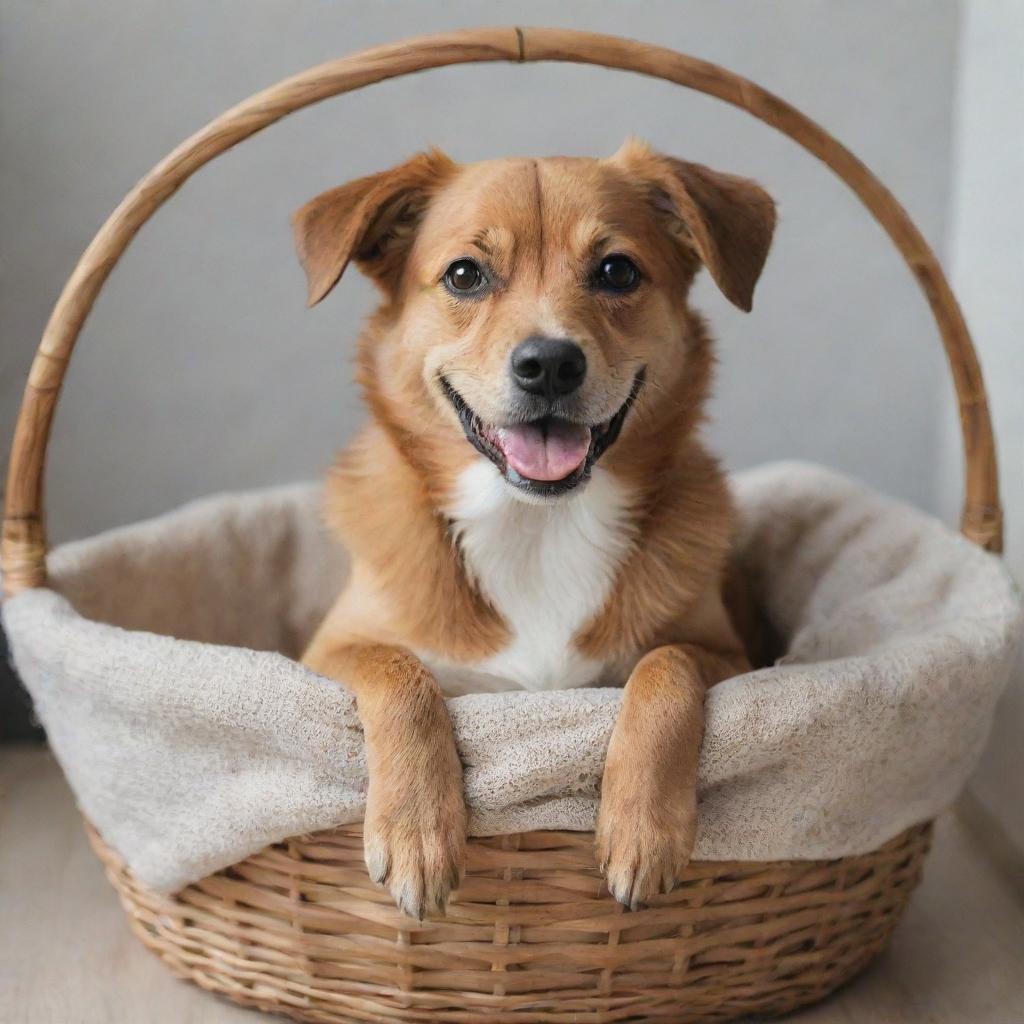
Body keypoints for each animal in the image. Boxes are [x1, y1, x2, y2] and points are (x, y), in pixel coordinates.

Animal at [296, 138, 774, 921]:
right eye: (465, 274)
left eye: (617, 270)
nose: (549, 363)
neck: (536, 525)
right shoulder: (324, 653)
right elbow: (399, 672)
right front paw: (416, 827)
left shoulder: (734, 656)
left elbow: (664, 666)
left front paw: (642, 825)